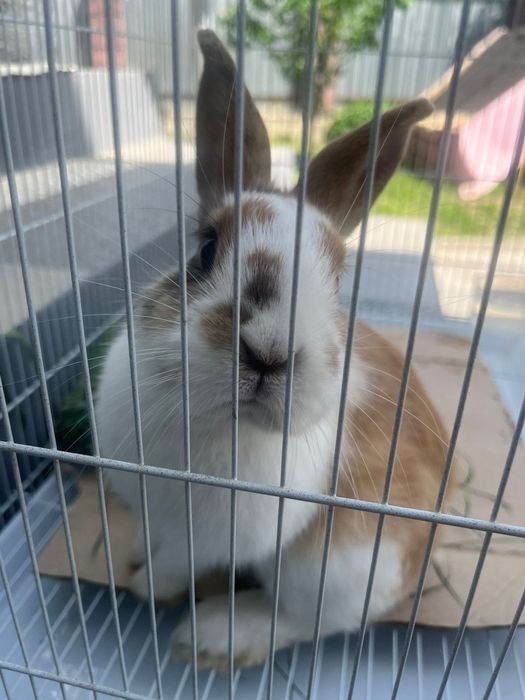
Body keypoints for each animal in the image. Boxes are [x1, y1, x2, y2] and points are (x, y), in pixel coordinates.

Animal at [95, 29, 454, 670]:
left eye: (336, 282)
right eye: (206, 249)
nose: (268, 352)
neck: (219, 422)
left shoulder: (210, 541)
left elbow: (175, 565)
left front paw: (144, 586)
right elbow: (153, 539)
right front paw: (131, 556)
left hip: (338, 567)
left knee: (315, 621)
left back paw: (214, 635)